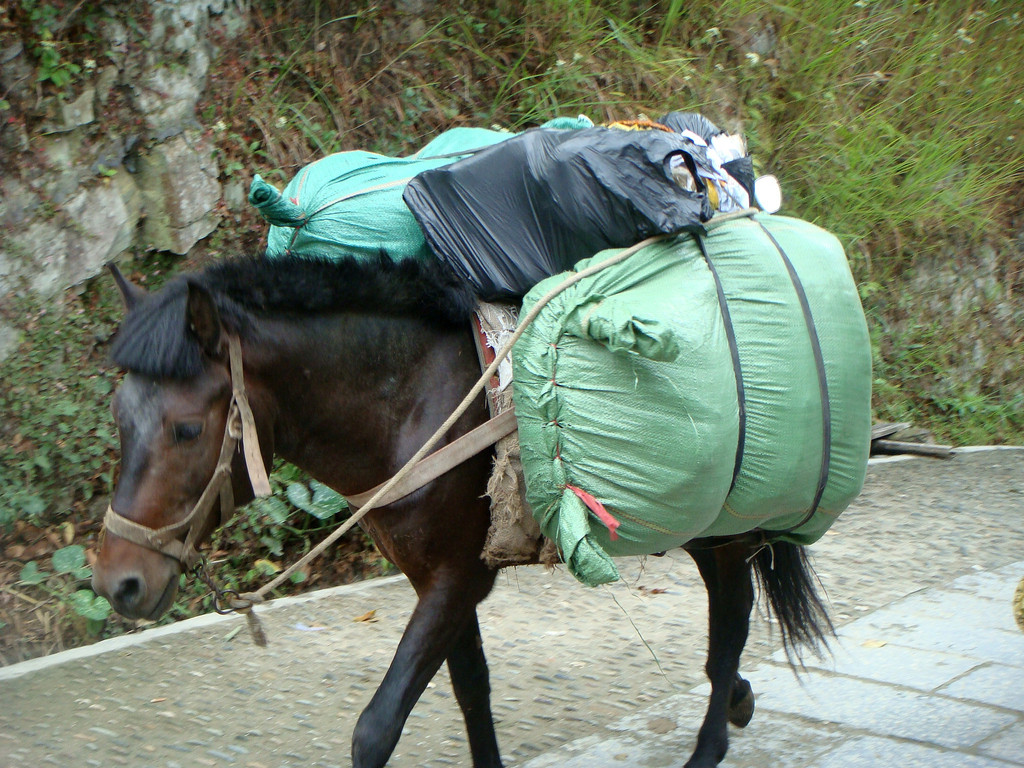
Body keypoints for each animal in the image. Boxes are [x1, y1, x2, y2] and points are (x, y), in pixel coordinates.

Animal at [92, 252, 831, 768]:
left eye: (187, 429)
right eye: (120, 416)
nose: (118, 583)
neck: (409, 401)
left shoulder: (456, 580)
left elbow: (377, 728)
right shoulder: (440, 578)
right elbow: (472, 691)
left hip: (729, 526)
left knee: (731, 621)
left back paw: (710, 742)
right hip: (703, 528)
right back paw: (736, 701)